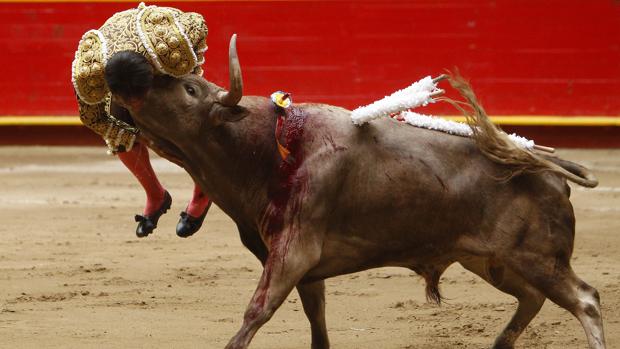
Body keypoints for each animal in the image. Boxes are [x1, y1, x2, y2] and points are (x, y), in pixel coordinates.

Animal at [105, 36, 604, 348]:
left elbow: (257, 312)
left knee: (584, 300)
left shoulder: (293, 252)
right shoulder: (304, 269)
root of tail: (545, 165)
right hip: (490, 260)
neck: (267, 149)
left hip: (536, 258)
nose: (123, 66)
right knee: (532, 298)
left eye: (190, 88)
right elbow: (317, 324)